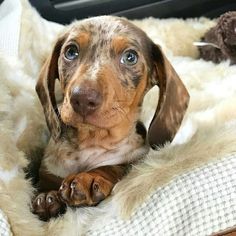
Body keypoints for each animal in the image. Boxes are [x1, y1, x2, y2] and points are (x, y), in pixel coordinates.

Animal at [31, 16, 190, 221]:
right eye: (71, 52)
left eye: (130, 57)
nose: (82, 98)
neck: (91, 141)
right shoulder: (49, 167)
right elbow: (46, 180)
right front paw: (47, 195)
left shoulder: (134, 161)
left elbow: (114, 167)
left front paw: (88, 178)